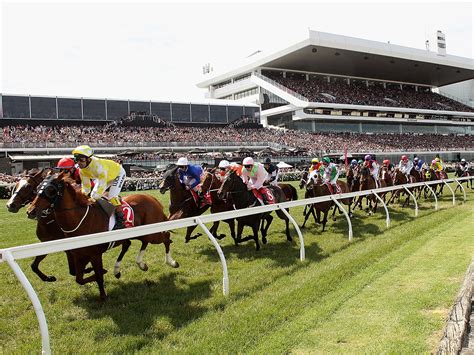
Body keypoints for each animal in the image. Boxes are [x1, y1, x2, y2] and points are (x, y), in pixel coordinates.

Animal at [26, 174, 178, 302]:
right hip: (141, 233)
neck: (80, 219)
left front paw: (103, 295)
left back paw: (171, 262)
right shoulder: (79, 255)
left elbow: (98, 275)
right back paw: (134, 265)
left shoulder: (94, 254)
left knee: (166, 238)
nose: (30, 211)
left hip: (152, 234)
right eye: (37, 189)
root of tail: (152, 199)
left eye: (50, 190)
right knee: (138, 243)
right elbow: (79, 278)